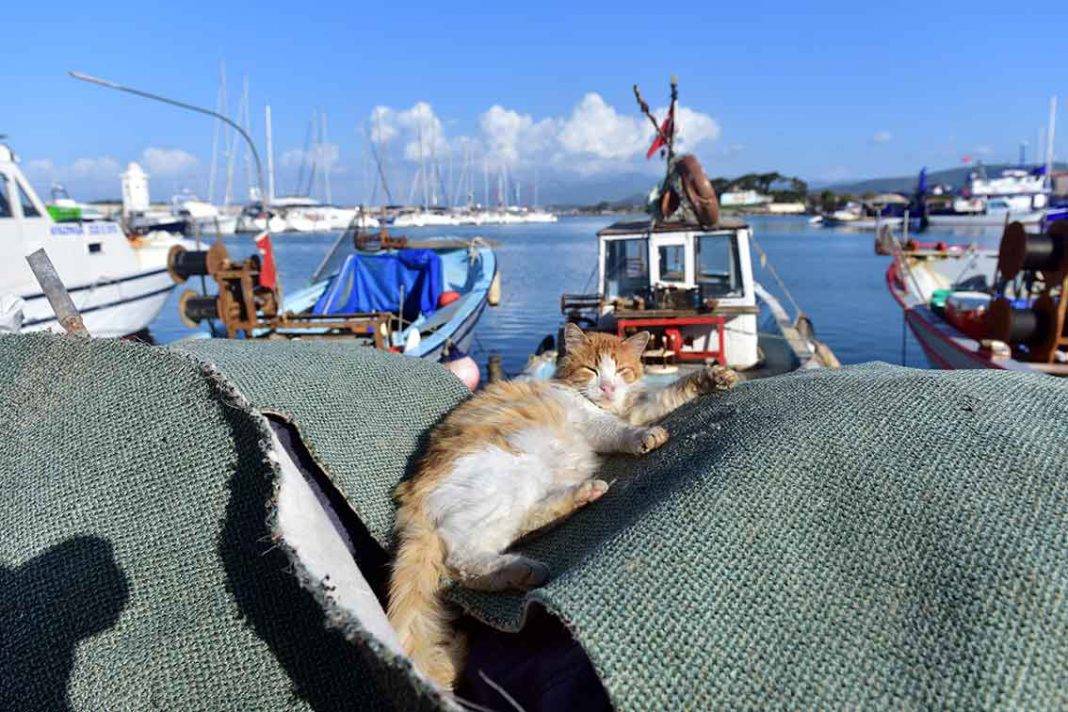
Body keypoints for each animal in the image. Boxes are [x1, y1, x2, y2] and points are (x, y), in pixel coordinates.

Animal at [388, 326, 739, 687]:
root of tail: (413, 497)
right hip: (513, 474)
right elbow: (621, 431)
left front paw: (713, 377)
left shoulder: (635, 408)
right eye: (592, 370)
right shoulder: (597, 423)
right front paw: (642, 437)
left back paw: (580, 497)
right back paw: (519, 568)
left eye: (621, 370)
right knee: (462, 560)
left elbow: (667, 395)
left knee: (519, 527)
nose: (608, 388)